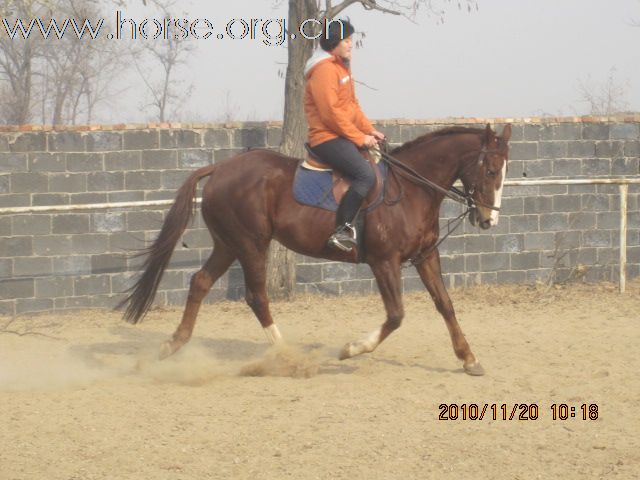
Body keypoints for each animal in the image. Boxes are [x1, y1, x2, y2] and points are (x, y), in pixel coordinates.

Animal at [120, 124, 512, 376]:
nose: (489, 220)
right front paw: (351, 349)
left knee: (200, 282)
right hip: (251, 244)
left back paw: (172, 345)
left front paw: (468, 359)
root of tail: (220, 167)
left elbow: (445, 305)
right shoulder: (384, 262)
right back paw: (287, 356)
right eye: (491, 170)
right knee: (256, 296)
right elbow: (396, 315)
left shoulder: (426, 256)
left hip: (228, 244)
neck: (411, 189)